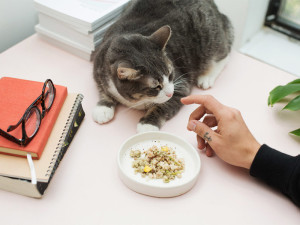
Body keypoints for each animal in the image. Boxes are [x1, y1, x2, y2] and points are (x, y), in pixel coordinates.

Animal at [92, 0, 233, 132]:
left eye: (171, 75)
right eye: (156, 86)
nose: (170, 93)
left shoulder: (181, 84)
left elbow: (163, 106)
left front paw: (147, 125)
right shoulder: (98, 65)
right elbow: (102, 88)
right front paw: (102, 108)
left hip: (209, 34)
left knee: (223, 52)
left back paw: (207, 76)